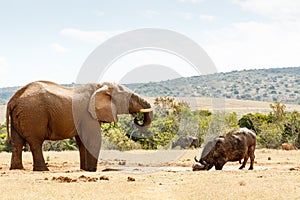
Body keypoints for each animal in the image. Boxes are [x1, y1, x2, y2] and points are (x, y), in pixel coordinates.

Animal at [6, 80, 152, 171]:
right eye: (130, 97)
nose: (137, 119)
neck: (100, 85)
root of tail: (13, 100)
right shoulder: (88, 114)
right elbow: (93, 139)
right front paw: (92, 171)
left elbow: (82, 141)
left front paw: (84, 170)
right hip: (34, 114)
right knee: (36, 142)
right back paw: (43, 170)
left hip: (21, 116)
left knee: (17, 142)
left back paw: (17, 168)